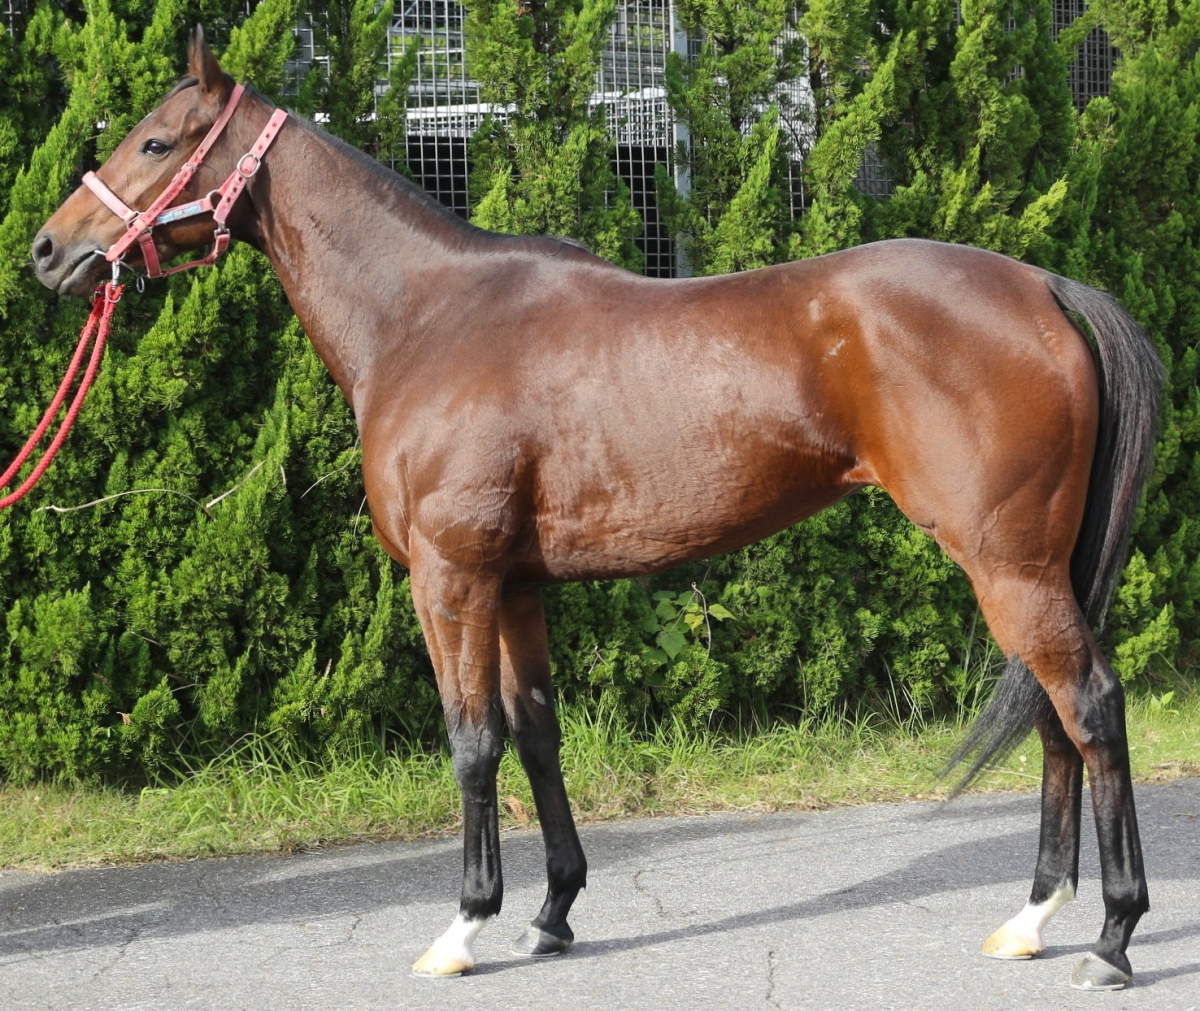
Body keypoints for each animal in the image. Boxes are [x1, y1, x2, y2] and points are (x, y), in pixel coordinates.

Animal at [31, 28, 1162, 990]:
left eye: (157, 140)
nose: (47, 250)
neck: (426, 318)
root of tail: (1045, 286)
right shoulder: (517, 585)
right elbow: (537, 733)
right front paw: (552, 914)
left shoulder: (451, 578)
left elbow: (472, 740)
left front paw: (465, 926)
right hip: (1033, 567)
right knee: (1055, 715)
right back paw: (1032, 918)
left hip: (1008, 564)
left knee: (1091, 706)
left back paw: (1110, 936)